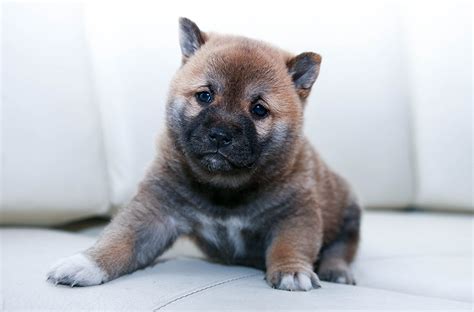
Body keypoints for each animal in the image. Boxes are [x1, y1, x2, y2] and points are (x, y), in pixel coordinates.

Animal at [47, 16, 360, 290]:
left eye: (259, 109)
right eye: (205, 96)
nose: (220, 135)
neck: (225, 190)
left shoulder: (294, 214)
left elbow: (290, 245)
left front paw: (292, 271)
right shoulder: (155, 211)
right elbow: (120, 239)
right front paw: (86, 264)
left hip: (348, 214)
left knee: (341, 248)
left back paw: (336, 270)